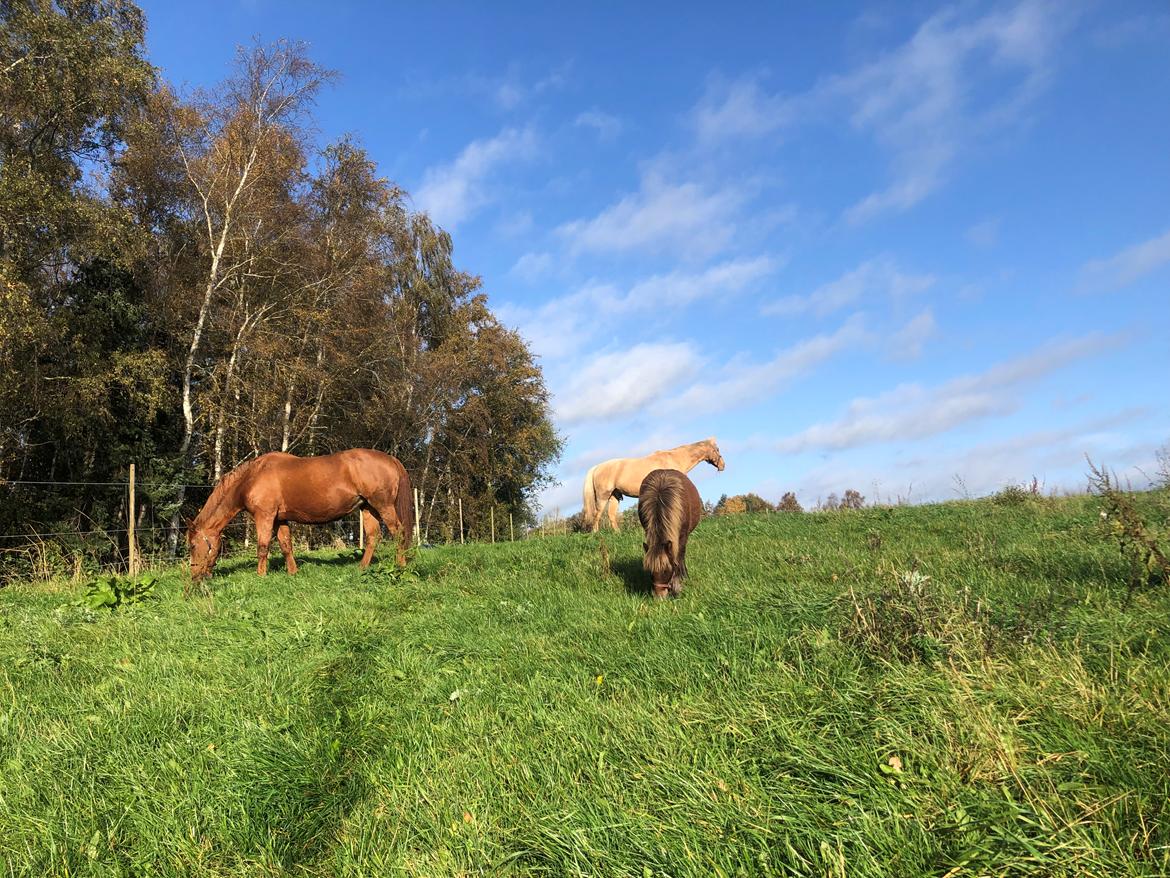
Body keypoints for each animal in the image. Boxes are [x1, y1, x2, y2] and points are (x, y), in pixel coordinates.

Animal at [188, 447, 416, 585]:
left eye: (192, 545)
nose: (195, 577)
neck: (252, 478)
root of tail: (391, 459)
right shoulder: (280, 519)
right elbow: (286, 545)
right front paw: (292, 572)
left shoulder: (265, 517)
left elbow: (262, 547)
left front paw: (260, 576)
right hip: (368, 508)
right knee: (372, 537)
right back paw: (362, 568)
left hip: (383, 506)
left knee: (399, 533)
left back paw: (400, 566)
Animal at [582, 437, 720, 533]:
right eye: (717, 449)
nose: (722, 465)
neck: (674, 459)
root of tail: (597, 467)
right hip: (603, 496)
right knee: (597, 513)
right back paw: (595, 533)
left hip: (615, 496)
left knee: (611, 515)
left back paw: (618, 533)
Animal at [641, 470, 702, 604]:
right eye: (650, 571)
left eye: (666, 570)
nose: (659, 597)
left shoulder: (682, 536)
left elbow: (679, 556)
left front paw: (678, 583)